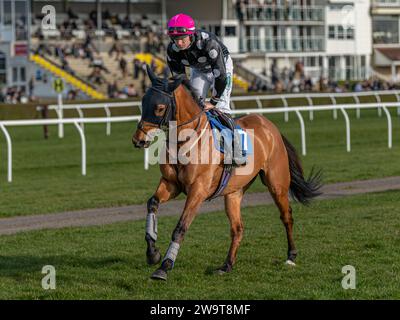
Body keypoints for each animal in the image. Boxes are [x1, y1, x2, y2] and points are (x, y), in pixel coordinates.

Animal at [131, 67, 322, 280]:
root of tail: (270, 126)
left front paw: (164, 266)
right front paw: (152, 253)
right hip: (234, 193)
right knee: (237, 229)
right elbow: (152, 203)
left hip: (277, 184)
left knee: (286, 216)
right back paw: (227, 265)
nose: (138, 140)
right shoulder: (171, 184)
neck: (186, 141)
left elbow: (181, 227)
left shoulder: (198, 190)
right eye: (143, 104)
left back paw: (291, 255)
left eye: (159, 108)